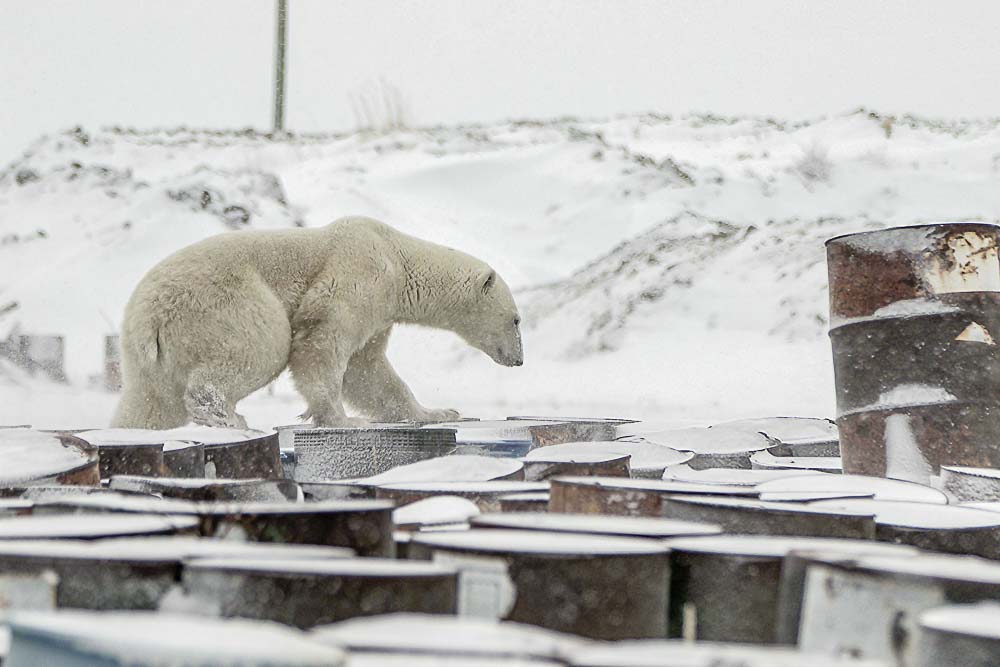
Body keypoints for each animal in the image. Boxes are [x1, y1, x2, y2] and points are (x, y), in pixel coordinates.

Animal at [111, 217, 524, 430]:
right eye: (517, 320)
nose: (519, 360)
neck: (398, 256)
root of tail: (149, 315)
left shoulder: (379, 312)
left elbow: (367, 370)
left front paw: (439, 412)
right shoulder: (361, 273)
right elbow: (323, 338)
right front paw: (343, 420)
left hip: (148, 355)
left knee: (148, 403)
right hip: (222, 303)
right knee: (263, 344)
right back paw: (234, 419)